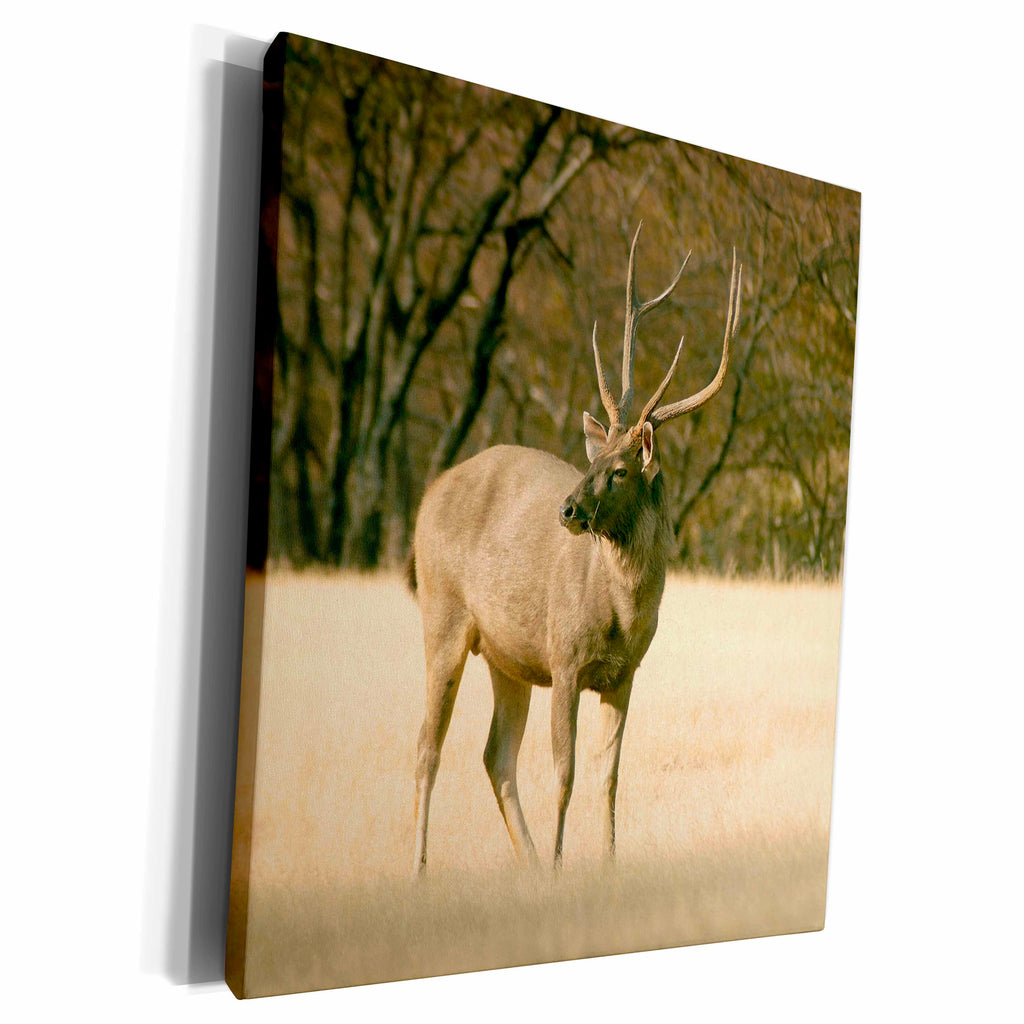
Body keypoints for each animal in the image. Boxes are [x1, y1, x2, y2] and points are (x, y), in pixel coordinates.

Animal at [407, 223, 741, 873]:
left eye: (620, 471)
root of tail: (425, 497)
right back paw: (420, 870)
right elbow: (563, 774)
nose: (567, 510)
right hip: (443, 615)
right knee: (427, 749)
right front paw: (567, 870)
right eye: (593, 459)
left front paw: (606, 869)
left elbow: (608, 777)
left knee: (495, 755)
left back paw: (530, 868)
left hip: (506, 655)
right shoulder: (563, 658)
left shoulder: (624, 675)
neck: (620, 612)